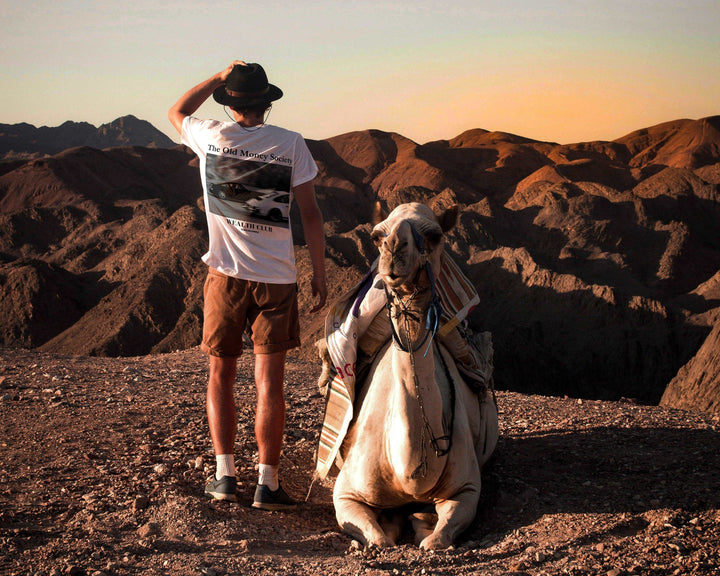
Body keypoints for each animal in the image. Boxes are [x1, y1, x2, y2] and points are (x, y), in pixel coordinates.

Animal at [330, 201, 498, 548]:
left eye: (434, 235)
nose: (394, 250)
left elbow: (438, 537)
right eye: (377, 235)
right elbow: (379, 539)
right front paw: (395, 524)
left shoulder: (467, 489)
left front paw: (422, 524)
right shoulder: (346, 492)